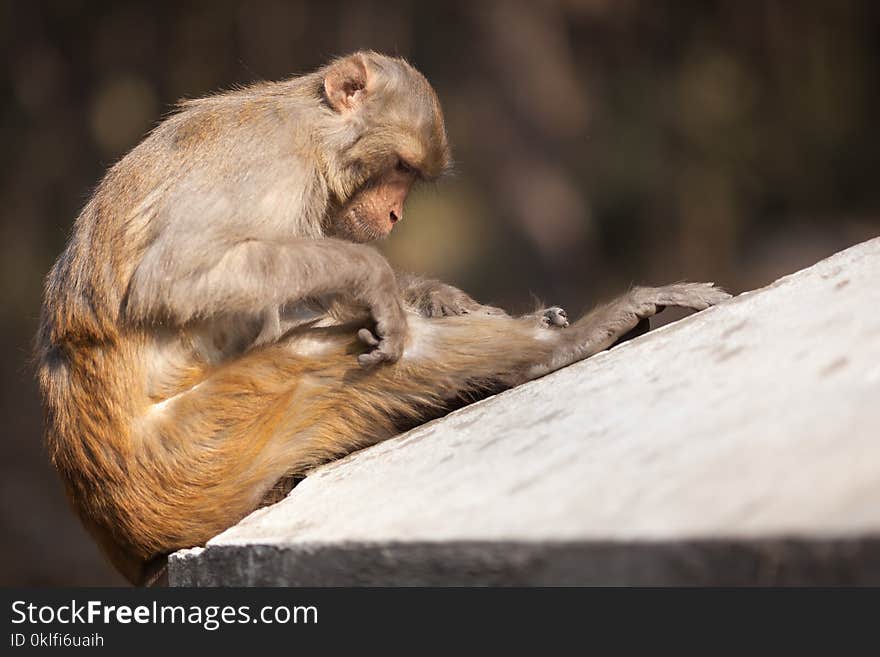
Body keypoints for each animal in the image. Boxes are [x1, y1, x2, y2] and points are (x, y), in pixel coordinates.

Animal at [34, 52, 728, 584]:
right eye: (397, 168)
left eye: (412, 178)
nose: (394, 215)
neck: (309, 126)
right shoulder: (267, 168)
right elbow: (175, 278)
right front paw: (377, 278)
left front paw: (440, 295)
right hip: (198, 452)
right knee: (325, 359)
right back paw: (570, 342)